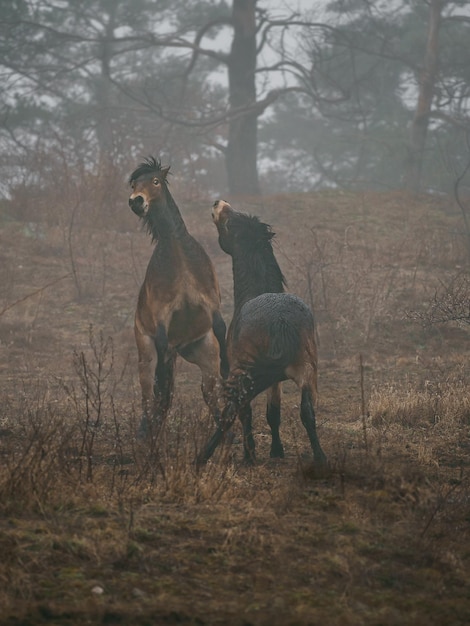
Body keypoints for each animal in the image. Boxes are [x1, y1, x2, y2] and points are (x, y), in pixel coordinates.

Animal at [129, 158, 228, 436]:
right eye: (133, 184)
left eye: (155, 181)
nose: (136, 202)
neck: (178, 253)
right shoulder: (162, 317)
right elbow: (160, 385)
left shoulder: (211, 303)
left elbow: (221, 327)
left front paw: (229, 367)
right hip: (146, 355)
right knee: (149, 395)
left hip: (203, 355)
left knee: (210, 394)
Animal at [197, 200, 326, 468]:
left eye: (229, 223)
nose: (218, 203)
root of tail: (280, 321)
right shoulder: (275, 380)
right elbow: (273, 413)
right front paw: (277, 450)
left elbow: (246, 414)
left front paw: (251, 454)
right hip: (307, 371)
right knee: (307, 412)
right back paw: (320, 456)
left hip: (245, 373)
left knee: (230, 412)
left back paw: (204, 456)